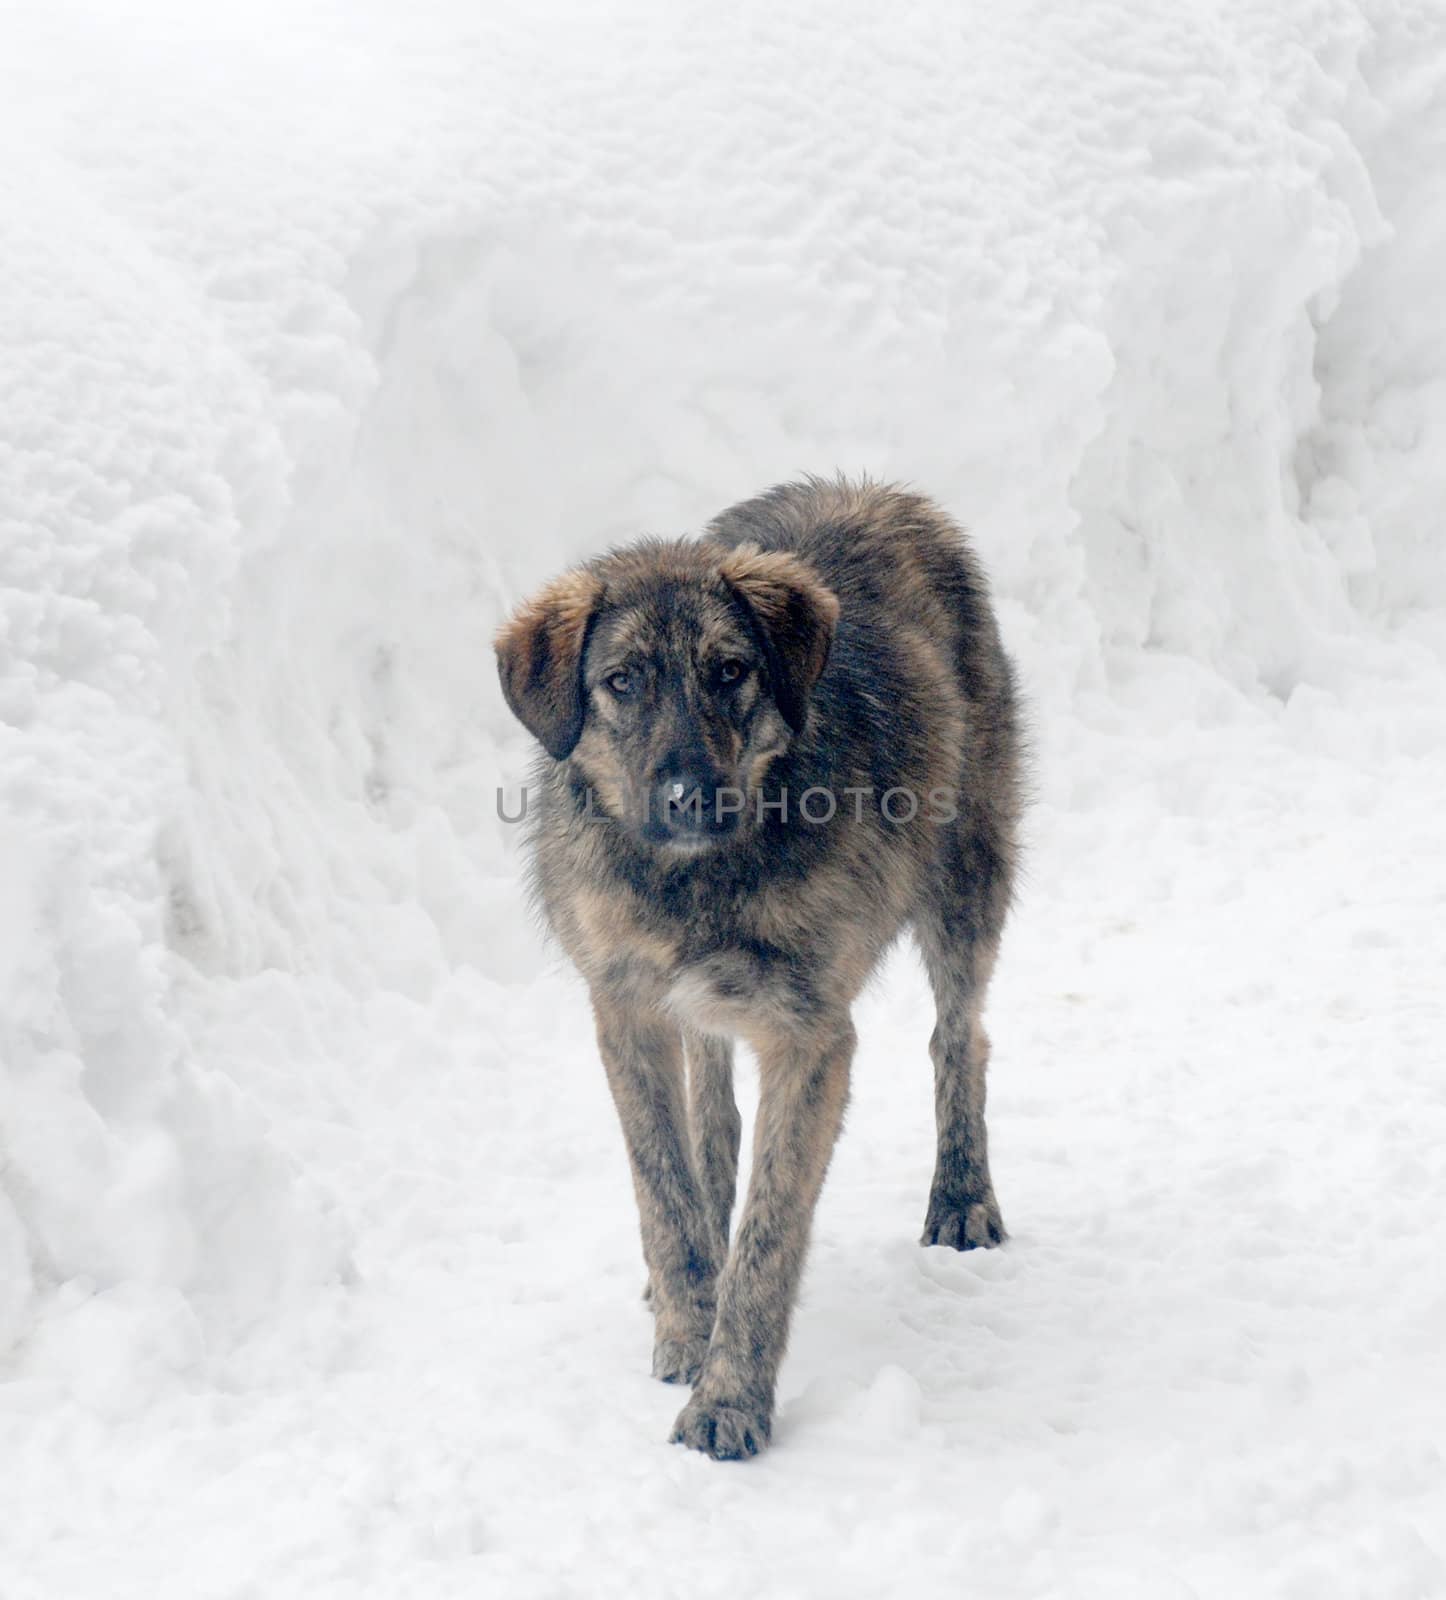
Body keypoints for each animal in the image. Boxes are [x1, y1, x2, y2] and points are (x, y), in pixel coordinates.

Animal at [492, 473, 1023, 1465]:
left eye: (730, 670)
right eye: (621, 682)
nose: (690, 794)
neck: (695, 881)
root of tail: (878, 490)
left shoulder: (809, 1038)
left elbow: (771, 1236)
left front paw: (729, 1398)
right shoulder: (626, 1010)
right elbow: (663, 1189)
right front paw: (686, 1322)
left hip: (967, 885)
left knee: (959, 1037)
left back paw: (962, 1198)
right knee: (714, 1112)